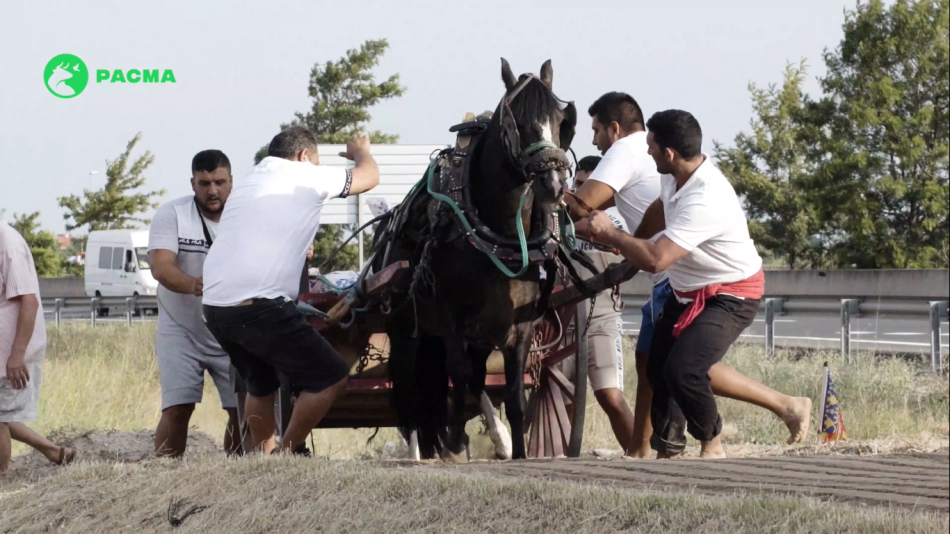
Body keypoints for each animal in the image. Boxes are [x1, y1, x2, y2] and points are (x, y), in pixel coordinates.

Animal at [376, 57, 576, 460]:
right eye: (516, 121)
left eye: (561, 120)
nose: (553, 184)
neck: (502, 235)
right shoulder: (452, 317)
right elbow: (459, 373)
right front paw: (455, 442)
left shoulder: (522, 325)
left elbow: (512, 392)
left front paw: (518, 451)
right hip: (406, 329)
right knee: (412, 393)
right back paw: (419, 452)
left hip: (477, 333)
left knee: (471, 379)